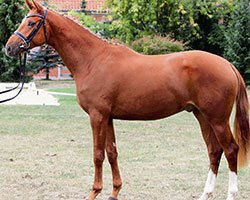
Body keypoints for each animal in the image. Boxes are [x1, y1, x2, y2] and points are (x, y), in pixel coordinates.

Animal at [4, 0, 249, 199]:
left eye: (31, 23)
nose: (9, 47)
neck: (93, 60)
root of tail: (227, 64)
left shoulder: (97, 116)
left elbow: (98, 155)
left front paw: (94, 192)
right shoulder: (108, 117)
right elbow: (112, 153)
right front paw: (114, 192)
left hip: (217, 119)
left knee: (230, 150)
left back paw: (230, 194)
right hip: (202, 116)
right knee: (214, 151)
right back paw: (205, 194)